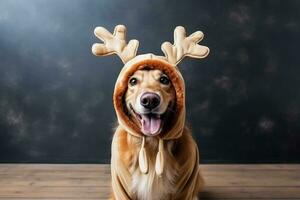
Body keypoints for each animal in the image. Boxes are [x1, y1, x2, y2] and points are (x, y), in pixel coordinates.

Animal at [91, 24, 209, 199]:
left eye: (164, 80)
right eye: (133, 81)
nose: (150, 100)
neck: (152, 145)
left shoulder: (187, 184)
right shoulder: (121, 187)